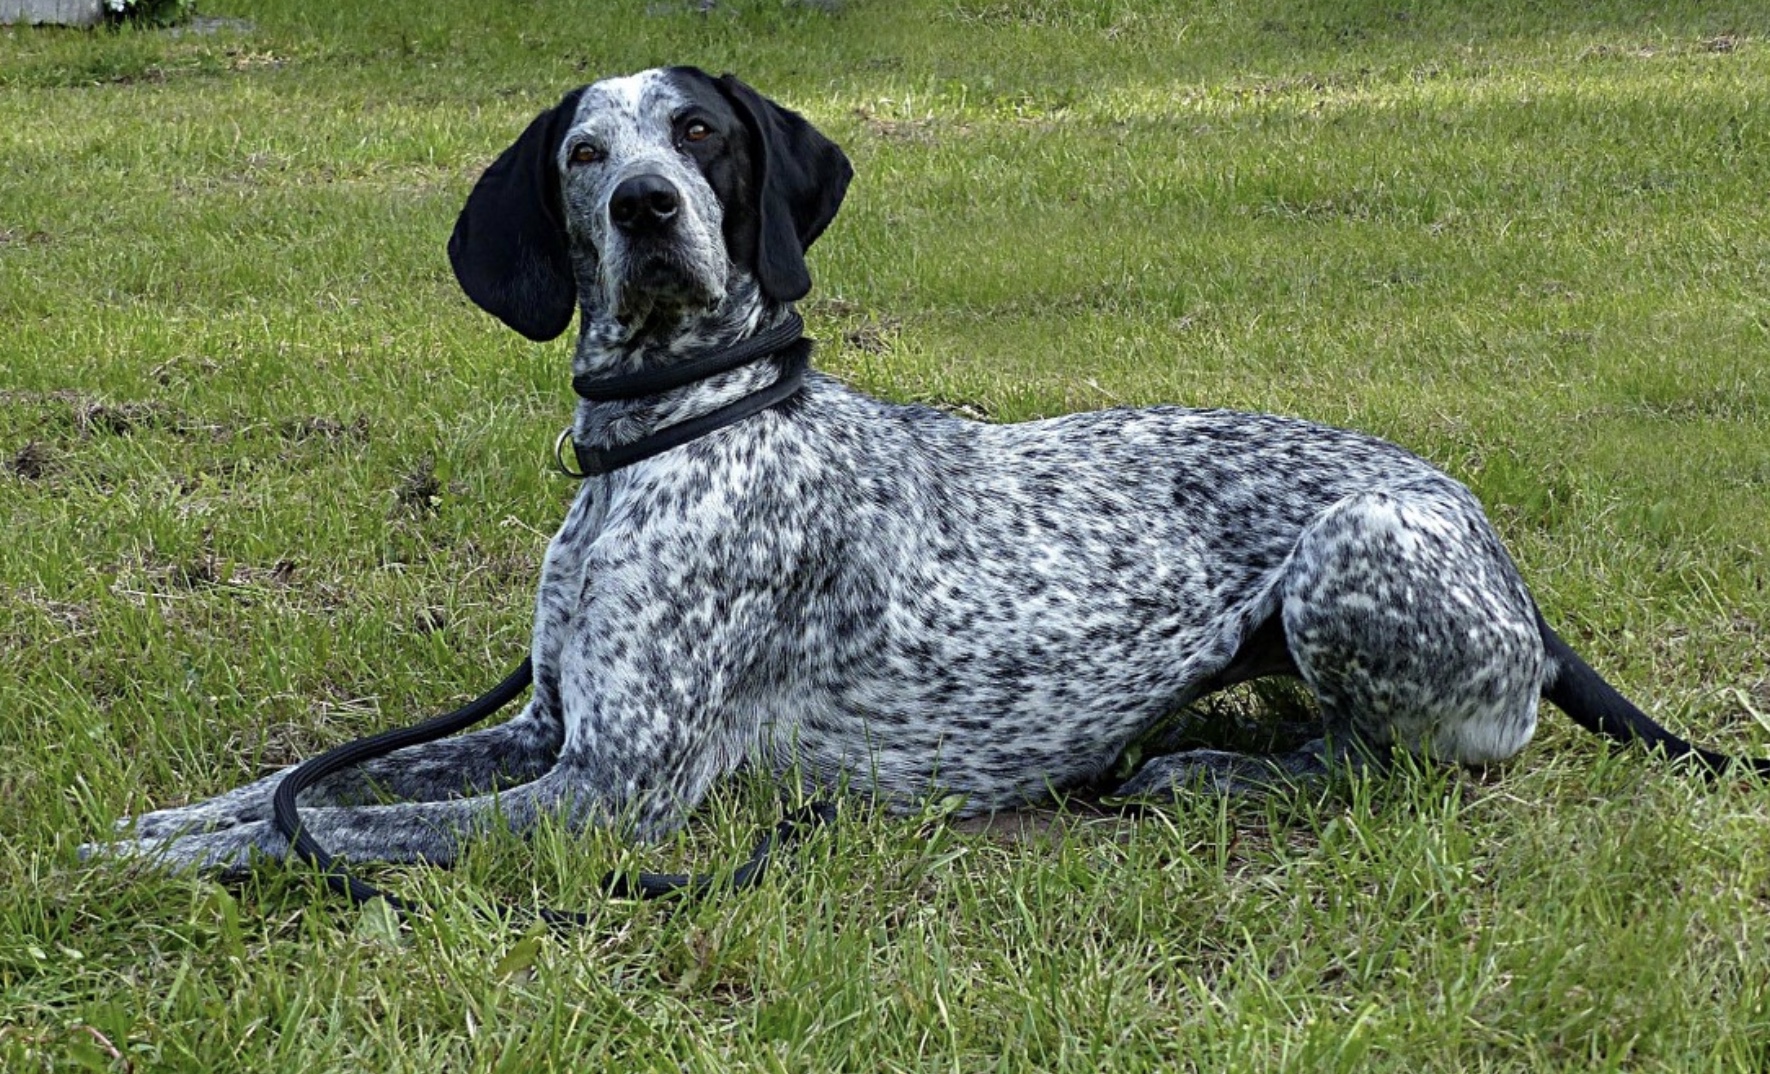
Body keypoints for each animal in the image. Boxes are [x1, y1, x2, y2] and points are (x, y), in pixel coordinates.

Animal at [96, 65, 1770, 874]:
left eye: (700, 134)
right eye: (583, 153)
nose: (644, 208)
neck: (675, 433)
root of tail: (1506, 564)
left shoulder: (610, 793)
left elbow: (330, 828)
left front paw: (144, 864)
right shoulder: (545, 736)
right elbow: (300, 788)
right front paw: (161, 825)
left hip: (1354, 556)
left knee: (1413, 762)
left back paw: (1212, 768)